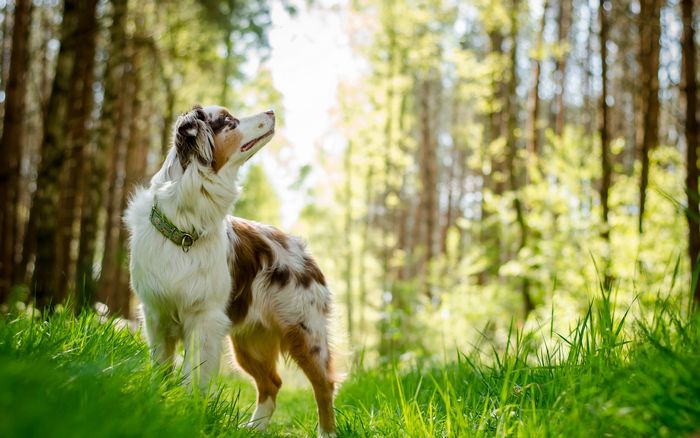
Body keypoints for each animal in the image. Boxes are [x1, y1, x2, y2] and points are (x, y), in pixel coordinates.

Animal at [126, 104, 340, 436]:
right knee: (272, 383)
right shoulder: (156, 316)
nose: (272, 111)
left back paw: (326, 431)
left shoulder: (203, 319)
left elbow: (193, 378)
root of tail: (303, 250)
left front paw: (186, 415)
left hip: (305, 333)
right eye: (229, 122)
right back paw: (253, 428)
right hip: (249, 342)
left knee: (324, 385)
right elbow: (161, 370)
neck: (185, 226)